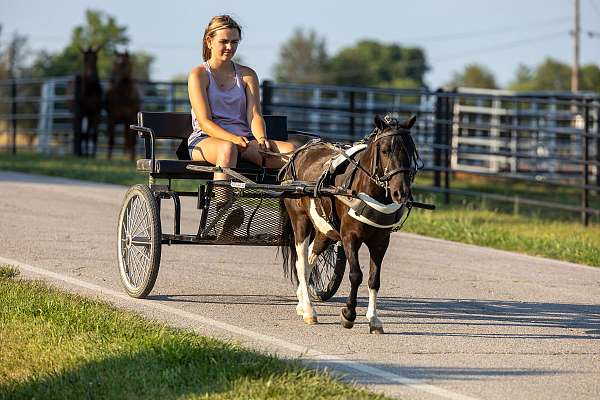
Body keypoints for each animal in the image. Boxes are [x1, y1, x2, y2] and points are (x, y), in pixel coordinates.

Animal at [282, 114, 422, 332]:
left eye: (411, 151)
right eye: (385, 150)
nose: (401, 193)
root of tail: (299, 152)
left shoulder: (381, 241)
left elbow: (374, 279)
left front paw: (373, 319)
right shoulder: (349, 237)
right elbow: (356, 275)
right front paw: (348, 314)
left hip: (325, 229)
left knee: (309, 259)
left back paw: (302, 302)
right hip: (300, 220)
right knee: (302, 262)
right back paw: (309, 311)